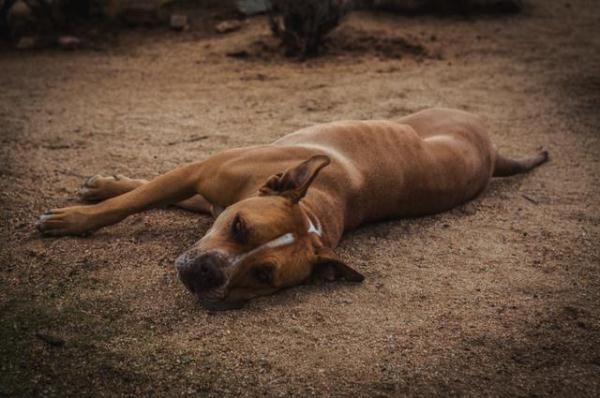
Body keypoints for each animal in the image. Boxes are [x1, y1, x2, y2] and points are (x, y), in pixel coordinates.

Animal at [37, 107, 548, 310]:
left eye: (264, 276)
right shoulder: (202, 174)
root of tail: (492, 150)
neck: (318, 211)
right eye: (238, 226)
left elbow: (158, 196)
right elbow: (135, 200)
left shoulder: (208, 191)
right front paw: (79, 214)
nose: (207, 273)